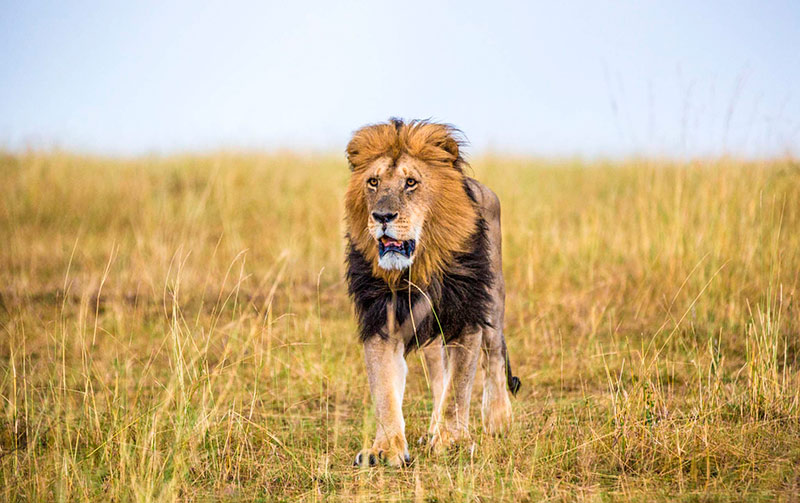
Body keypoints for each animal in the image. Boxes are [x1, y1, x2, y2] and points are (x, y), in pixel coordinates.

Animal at [342, 119, 520, 468]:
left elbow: (459, 387)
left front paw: (451, 442)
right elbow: (385, 389)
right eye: (373, 182)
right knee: (439, 377)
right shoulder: (381, 323)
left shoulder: (467, 319)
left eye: (411, 182)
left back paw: (497, 419)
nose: (382, 217)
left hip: (493, 299)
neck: (416, 268)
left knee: (494, 355)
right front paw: (385, 449)